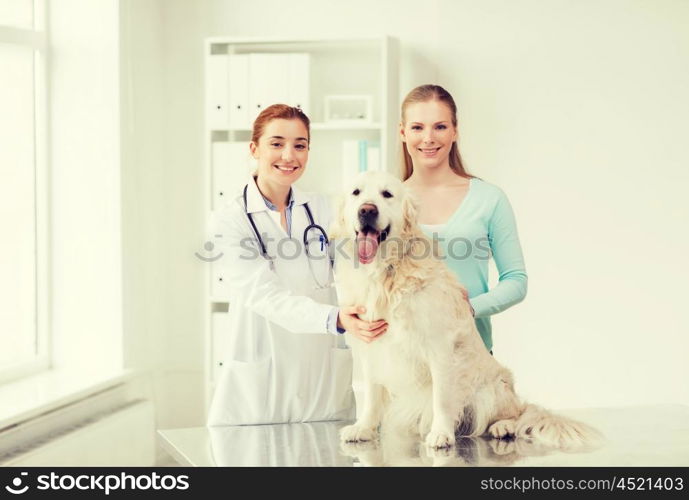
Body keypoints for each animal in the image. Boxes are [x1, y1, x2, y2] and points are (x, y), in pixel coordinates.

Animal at [330, 171, 600, 450]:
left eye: (387, 194)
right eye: (356, 192)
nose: (367, 210)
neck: (386, 271)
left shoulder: (439, 346)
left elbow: (441, 397)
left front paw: (441, 433)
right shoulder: (372, 343)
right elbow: (372, 394)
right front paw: (363, 427)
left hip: (493, 389)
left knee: (517, 414)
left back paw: (503, 426)